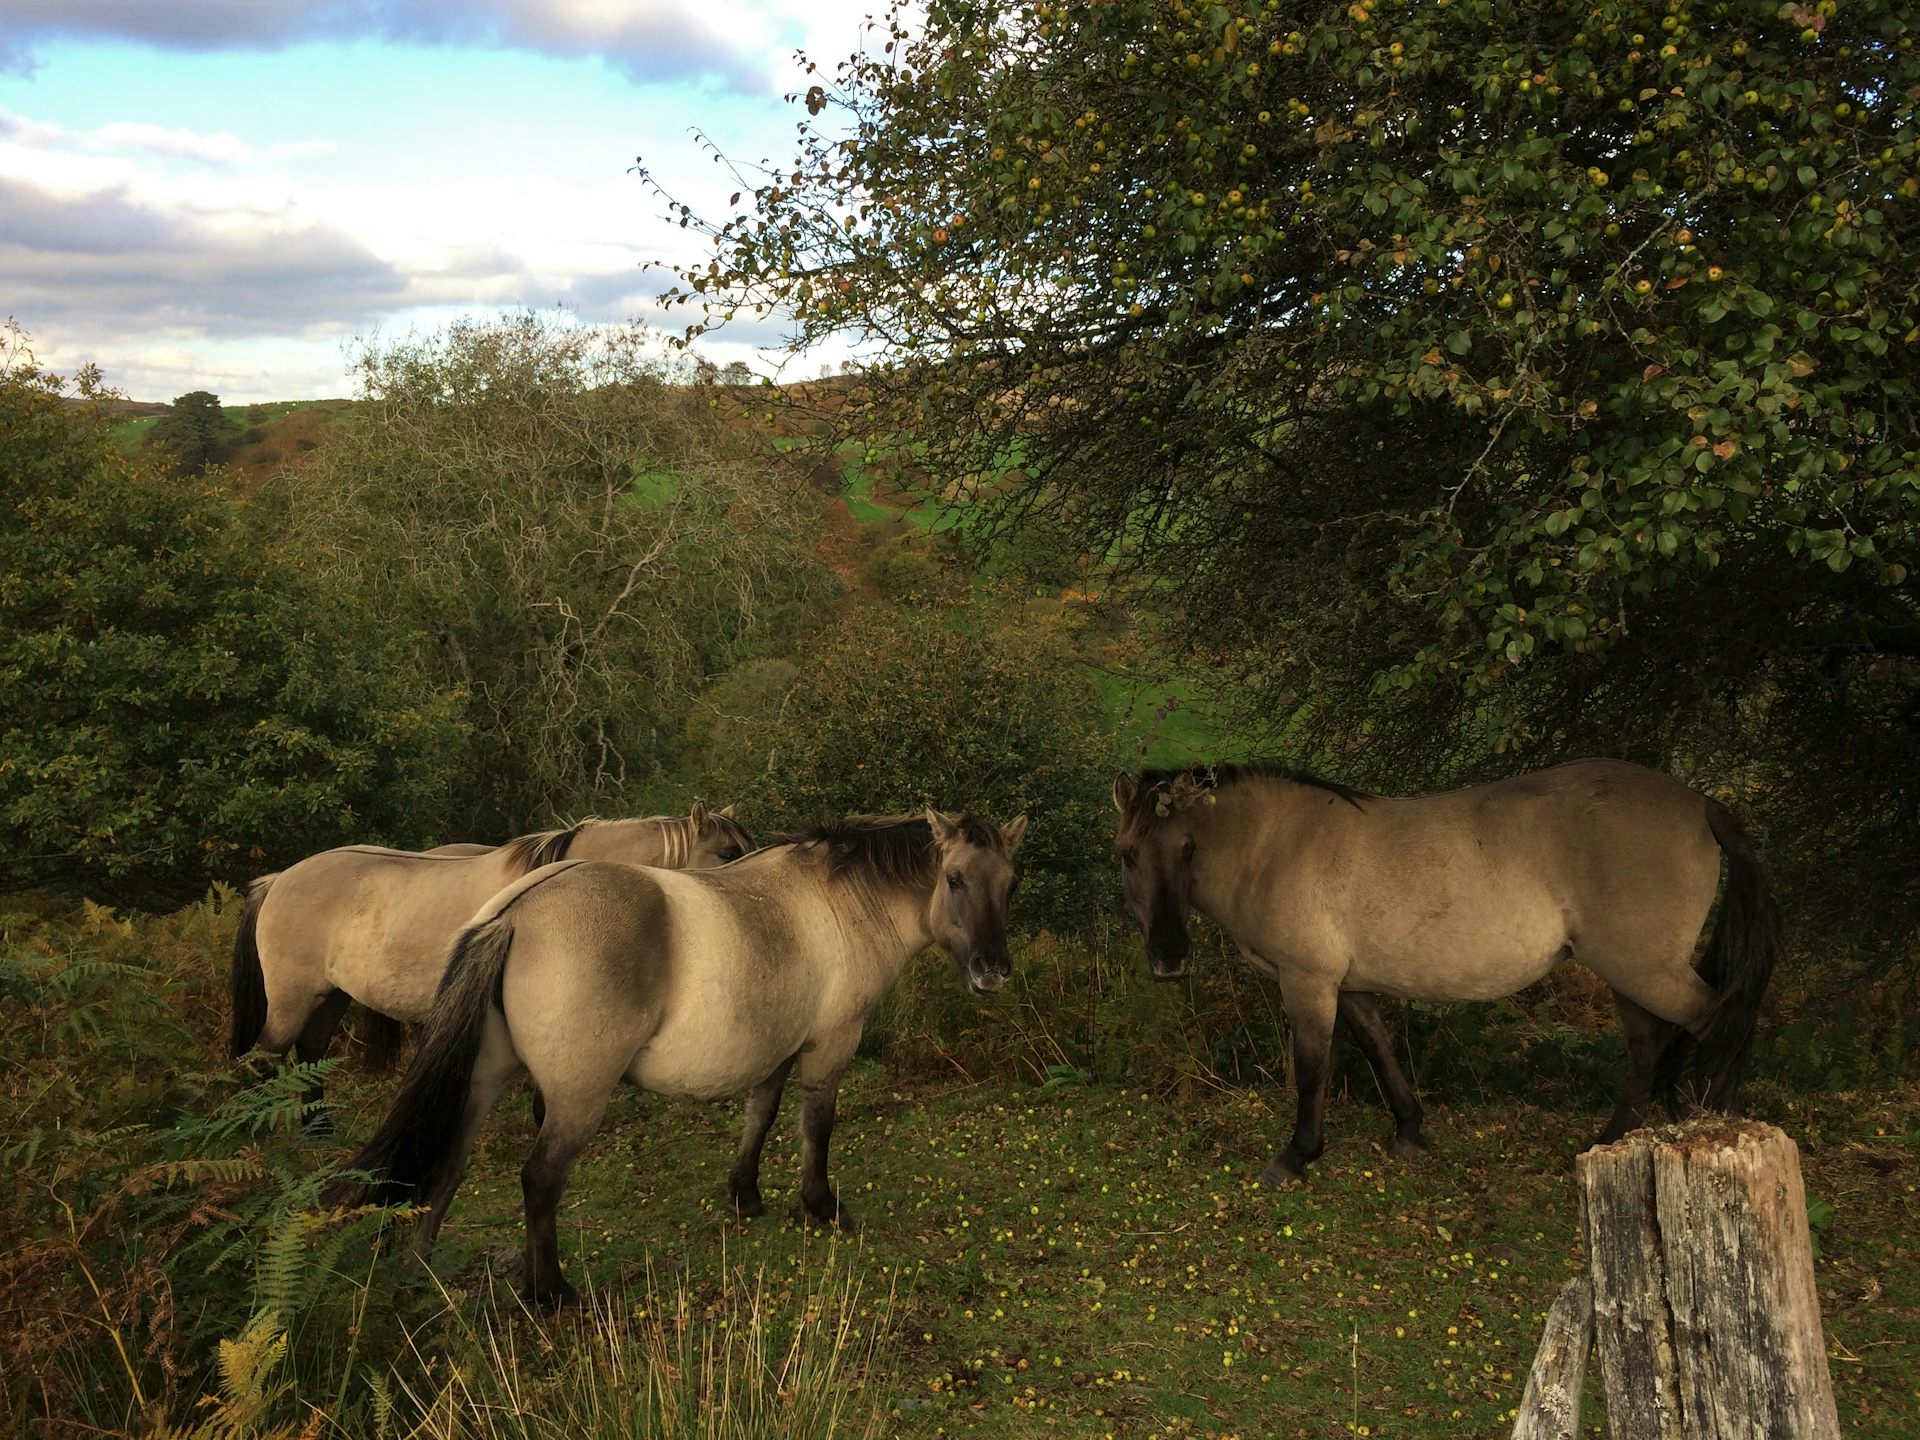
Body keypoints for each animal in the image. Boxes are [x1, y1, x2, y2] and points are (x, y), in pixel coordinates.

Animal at [230, 803, 752, 1128]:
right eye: (728, 853)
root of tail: (279, 880)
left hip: (331, 996)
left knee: (309, 1056)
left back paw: (318, 1130)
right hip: (292, 1000)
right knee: (266, 1060)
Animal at [342, 809, 1027, 1307]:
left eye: (1010, 884)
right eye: (954, 880)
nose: (993, 972)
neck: (837, 903)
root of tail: (518, 912)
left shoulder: (777, 1050)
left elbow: (760, 1116)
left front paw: (746, 1196)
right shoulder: (831, 1044)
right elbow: (817, 1125)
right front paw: (821, 1207)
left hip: (483, 1082)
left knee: (447, 1167)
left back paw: (421, 1272)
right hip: (575, 1100)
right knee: (539, 1180)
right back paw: (552, 1293)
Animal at [1112, 760, 1779, 1183]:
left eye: (1188, 850)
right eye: (1128, 855)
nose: (1169, 956)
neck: (1278, 843)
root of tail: (1699, 803)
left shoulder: (1308, 982)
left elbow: (1311, 1069)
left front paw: (1297, 1155)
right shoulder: (1350, 985)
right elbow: (1378, 1048)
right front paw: (1409, 1130)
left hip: (1646, 971)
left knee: (1717, 1025)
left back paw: (1712, 1125)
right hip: (1630, 976)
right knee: (1647, 1051)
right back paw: (1609, 1142)